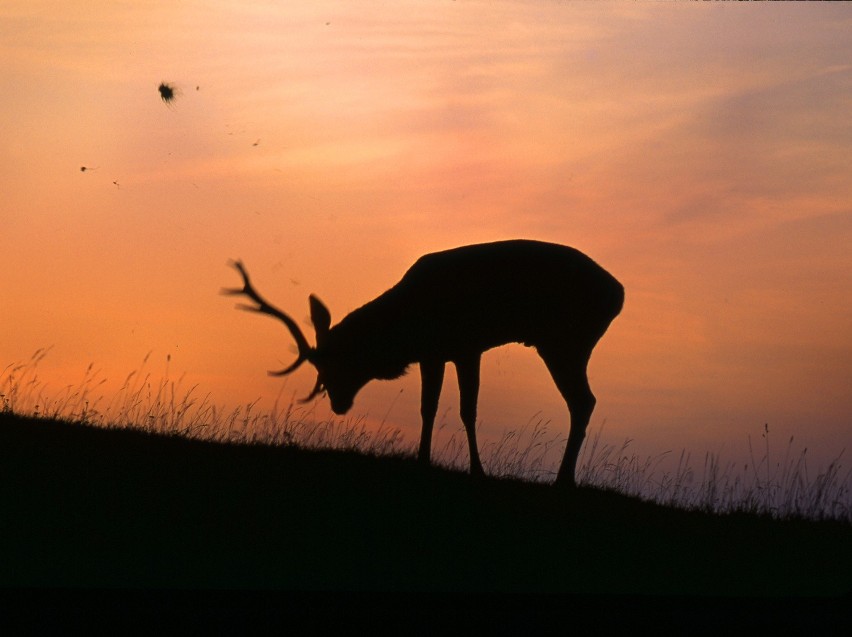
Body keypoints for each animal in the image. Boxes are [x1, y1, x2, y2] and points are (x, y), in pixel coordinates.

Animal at [223, 238, 624, 486]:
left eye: (334, 363)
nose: (337, 403)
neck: (407, 330)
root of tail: (618, 293)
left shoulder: (461, 347)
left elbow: (462, 410)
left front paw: (473, 469)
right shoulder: (444, 353)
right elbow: (429, 407)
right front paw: (424, 458)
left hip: (565, 341)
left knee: (583, 401)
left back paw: (564, 478)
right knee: (583, 401)